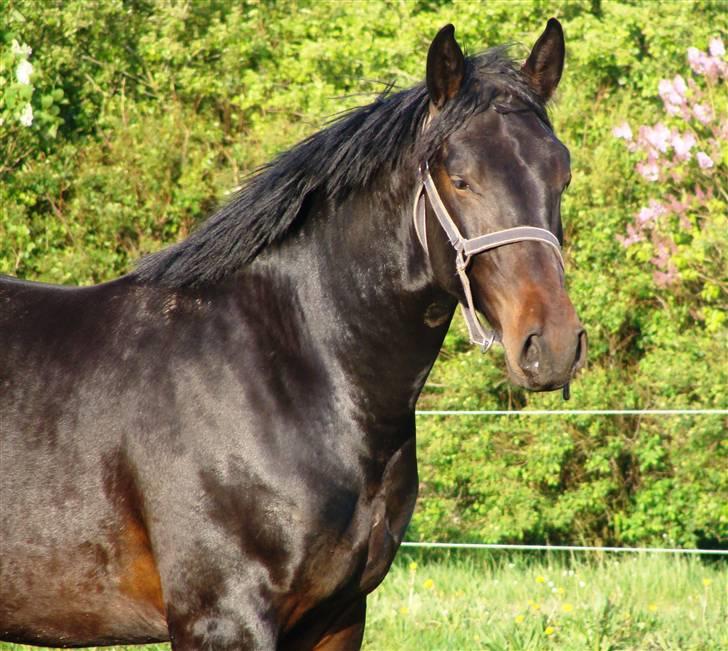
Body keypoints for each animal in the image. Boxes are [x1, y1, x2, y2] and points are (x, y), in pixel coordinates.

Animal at [0, 20, 584, 651]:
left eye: (562, 173)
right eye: (460, 179)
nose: (552, 344)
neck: (284, 372)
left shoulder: (338, 617)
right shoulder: (223, 619)